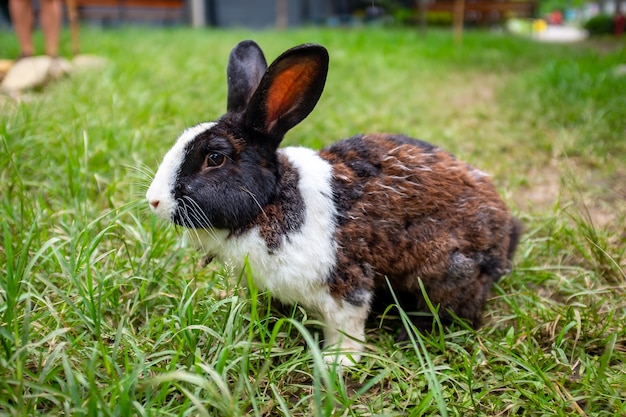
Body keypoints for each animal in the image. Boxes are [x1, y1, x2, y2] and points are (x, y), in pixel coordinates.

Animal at [144, 39, 520, 364]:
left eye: (216, 158)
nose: (154, 201)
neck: (270, 201)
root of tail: (506, 232)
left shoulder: (344, 284)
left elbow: (347, 325)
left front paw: (339, 362)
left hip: (446, 268)